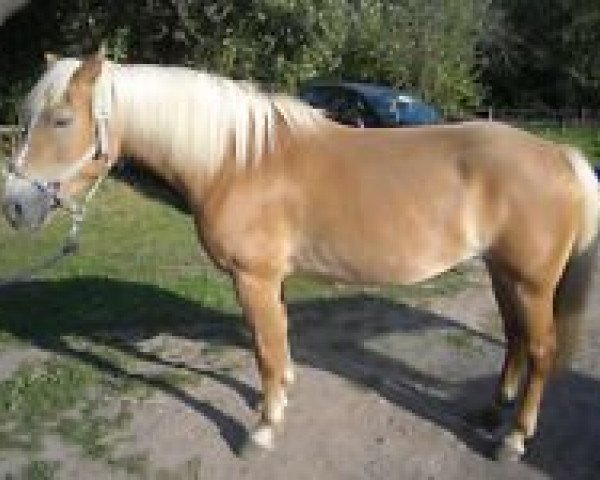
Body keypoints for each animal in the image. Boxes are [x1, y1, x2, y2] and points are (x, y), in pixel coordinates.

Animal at [2, 50, 596, 460]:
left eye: (60, 120)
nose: (15, 206)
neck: (236, 161)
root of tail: (560, 155)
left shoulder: (253, 278)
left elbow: (265, 348)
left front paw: (263, 430)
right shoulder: (272, 279)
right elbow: (278, 341)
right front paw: (280, 399)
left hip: (531, 282)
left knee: (540, 349)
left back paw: (514, 440)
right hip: (503, 274)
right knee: (515, 339)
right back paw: (492, 412)